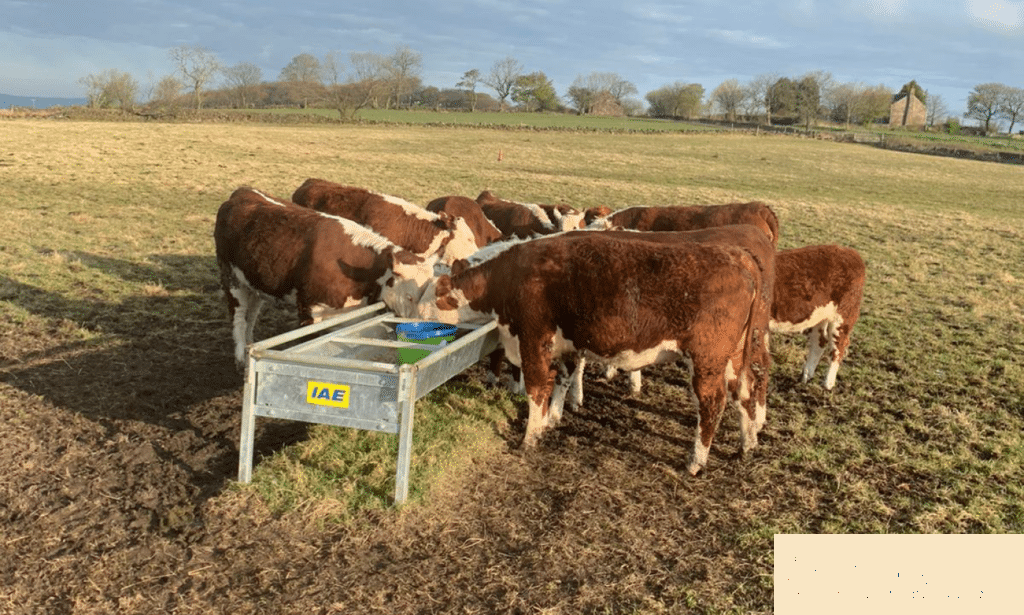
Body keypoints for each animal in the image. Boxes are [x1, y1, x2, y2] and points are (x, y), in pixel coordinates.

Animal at [214, 187, 437, 367]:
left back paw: (249, 343)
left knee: (251, 314)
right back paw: (241, 357)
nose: (419, 326)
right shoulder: (309, 309)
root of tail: (242, 192)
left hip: (254, 282)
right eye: (409, 296)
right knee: (239, 317)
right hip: (231, 278)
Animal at [414, 231, 766, 475]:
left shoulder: (533, 339)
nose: (413, 315)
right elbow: (563, 380)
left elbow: (536, 388)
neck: (509, 277)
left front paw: (530, 437)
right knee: (746, 391)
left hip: (707, 358)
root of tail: (738, 255)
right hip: (733, 357)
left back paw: (695, 462)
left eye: (431, 295)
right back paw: (747, 444)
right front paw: (552, 419)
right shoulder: (569, 345)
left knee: (712, 403)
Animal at [769, 244, 866, 390]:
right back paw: (806, 376)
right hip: (819, 316)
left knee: (838, 346)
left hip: (843, 315)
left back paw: (828, 383)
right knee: (819, 342)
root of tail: (849, 251)